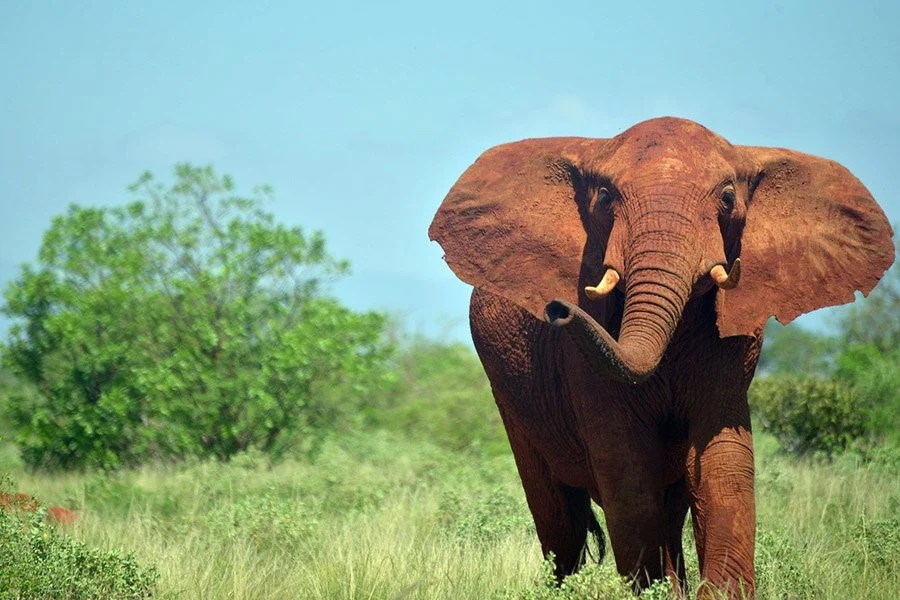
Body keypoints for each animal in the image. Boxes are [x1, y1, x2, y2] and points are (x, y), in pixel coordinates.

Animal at [428, 117, 894, 599]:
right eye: (604, 198)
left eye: (728, 199)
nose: (558, 309)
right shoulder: (580, 359)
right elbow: (628, 471)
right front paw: (652, 590)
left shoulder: (734, 340)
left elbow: (723, 464)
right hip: (512, 399)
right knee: (559, 518)